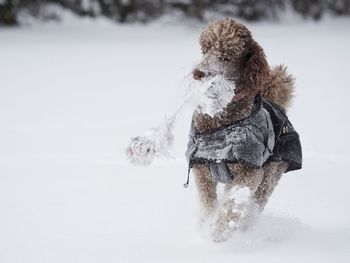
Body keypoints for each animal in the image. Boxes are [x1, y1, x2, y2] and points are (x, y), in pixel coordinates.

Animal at [185, 18, 302, 242]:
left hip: (270, 176)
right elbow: (208, 202)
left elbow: (231, 205)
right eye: (205, 49)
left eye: (226, 56)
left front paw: (219, 231)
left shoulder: (249, 172)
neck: (221, 125)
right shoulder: (202, 170)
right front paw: (205, 225)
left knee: (252, 206)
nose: (198, 73)